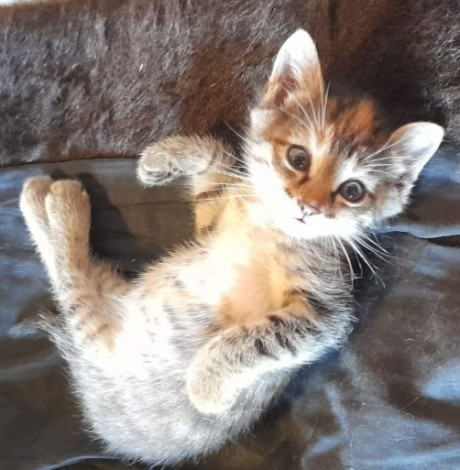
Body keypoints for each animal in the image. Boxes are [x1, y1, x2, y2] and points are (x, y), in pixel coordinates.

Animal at [19, 29, 443, 466]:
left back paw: (57, 203)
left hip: (99, 327)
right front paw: (164, 157)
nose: (309, 208)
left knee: (74, 279)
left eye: (353, 191)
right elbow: (214, 160)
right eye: (298, 158)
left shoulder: (327, 313)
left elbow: (258, 338)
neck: (269, 228)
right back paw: (43, 197)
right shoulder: (211, 227)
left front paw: (204, 384)